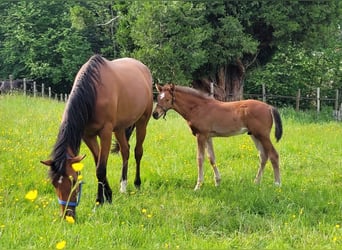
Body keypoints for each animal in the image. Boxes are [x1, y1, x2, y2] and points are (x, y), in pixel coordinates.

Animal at [40, 55, 152, 219]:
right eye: (54, 183)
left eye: (74, 181)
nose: (67, 215)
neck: (93, 93)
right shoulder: (88, 136)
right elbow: (97, 164)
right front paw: (106, 197)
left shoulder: (105, 133)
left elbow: (100, 169)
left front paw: (100, 201)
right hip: (119, 128)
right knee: (125, 151)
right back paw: (123, 186)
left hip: (142, 121)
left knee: (138, 152)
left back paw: (137, 184)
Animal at [154, 83, 282, 190]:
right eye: (158, 98)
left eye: (167, 99)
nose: (155, 114)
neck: (198, 108)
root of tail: (268, 107)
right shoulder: (208, 136)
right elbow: (211, 158)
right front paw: (217, 182)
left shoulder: (201, 135)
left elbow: (200, 158)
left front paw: (198, 186)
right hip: (254, 135)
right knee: (263, 156)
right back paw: (256, 182)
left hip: (263, 135)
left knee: (273, 155)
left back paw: (277, 184)